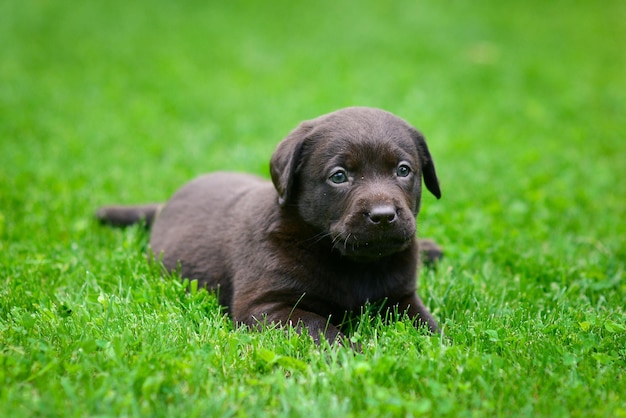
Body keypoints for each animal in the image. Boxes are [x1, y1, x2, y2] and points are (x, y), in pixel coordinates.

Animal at [96, 107, 438, 342]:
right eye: (339, 176)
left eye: (403, 170)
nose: (383, 215)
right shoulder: (266, 307)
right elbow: (319, 328)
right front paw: (350, 355)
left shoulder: (402, 296)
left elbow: (428, 323)